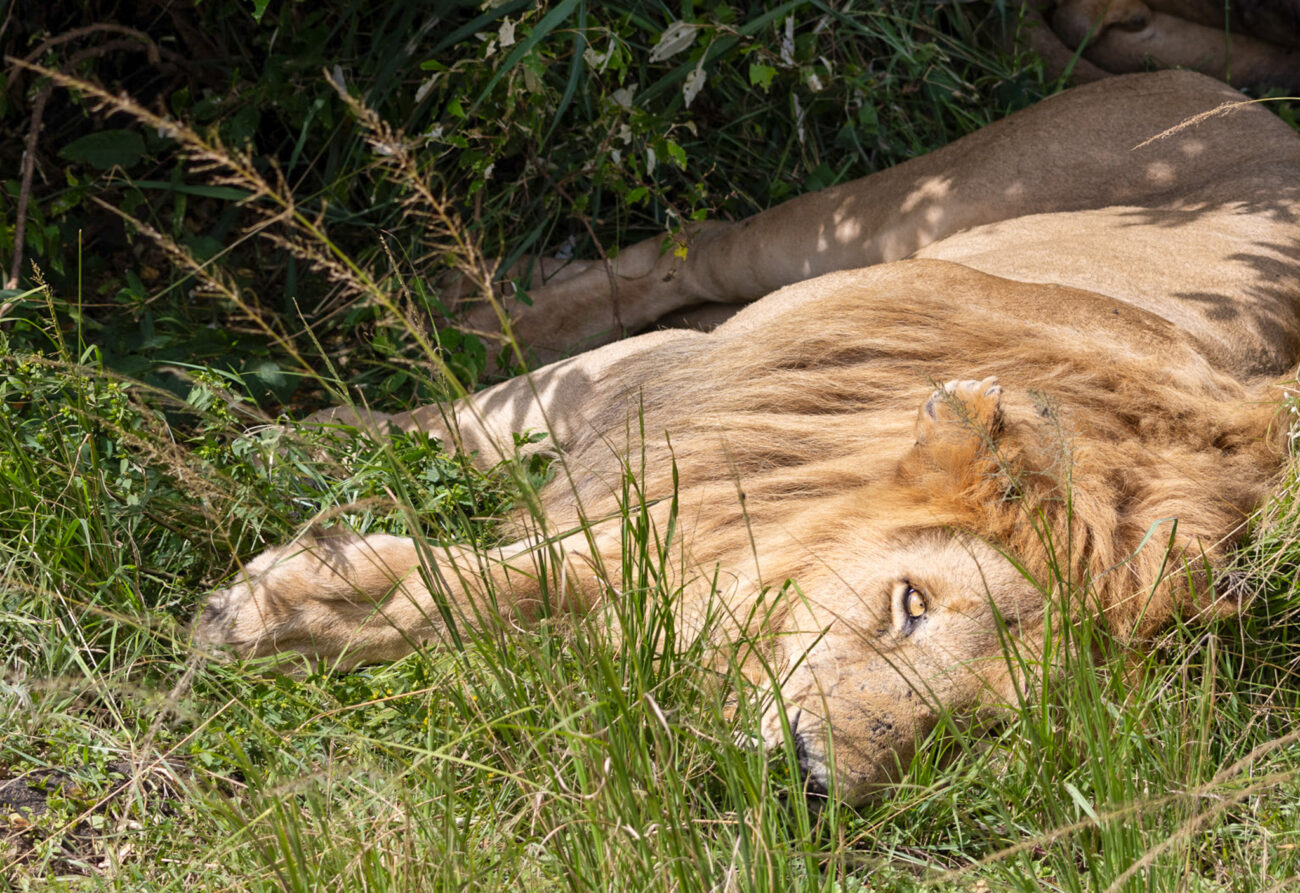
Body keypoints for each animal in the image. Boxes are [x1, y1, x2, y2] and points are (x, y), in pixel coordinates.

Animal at [192, 73, 1300, 805]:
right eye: (909, 603)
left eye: (978, 724)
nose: (809, 780)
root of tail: (1246, 102)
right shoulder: (668, 390)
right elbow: (469, 434)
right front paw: (286, 465)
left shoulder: (716, 512)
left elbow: (549, 577)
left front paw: (313, 604)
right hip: (868, 211)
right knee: (686, 248)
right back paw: (458, 312)